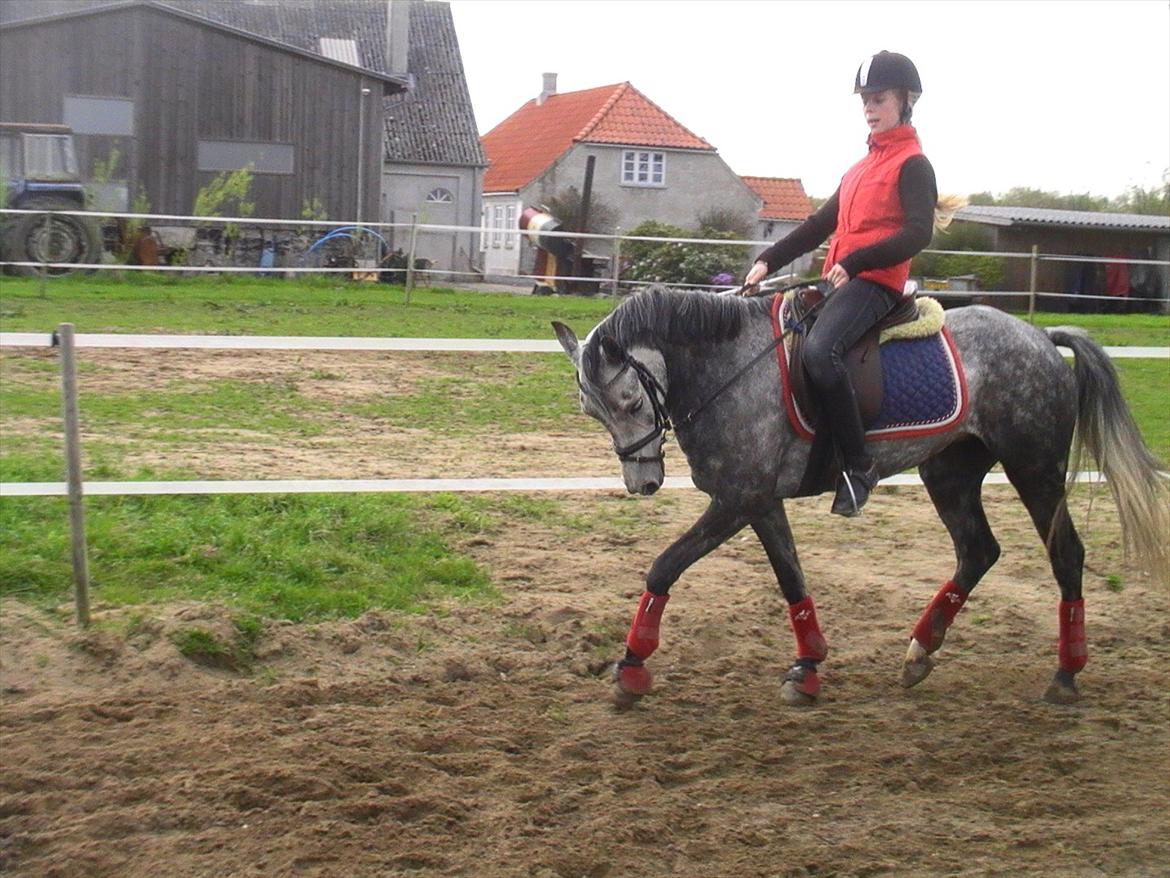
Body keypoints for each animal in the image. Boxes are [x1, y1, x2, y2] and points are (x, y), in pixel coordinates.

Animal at [552, 285, 1168, 707]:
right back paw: (920, 652)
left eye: (631, 401)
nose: (643, 484)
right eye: (592, 411)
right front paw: (808, 668)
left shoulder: (736, 500)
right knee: (978, 551)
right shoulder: (758, 502)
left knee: (1065, 553)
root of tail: (1040, 337)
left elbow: (664, 566)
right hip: (950, 472)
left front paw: (631, 666)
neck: (728, 367)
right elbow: (791, 578)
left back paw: (1065, 674)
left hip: (1034, 465)